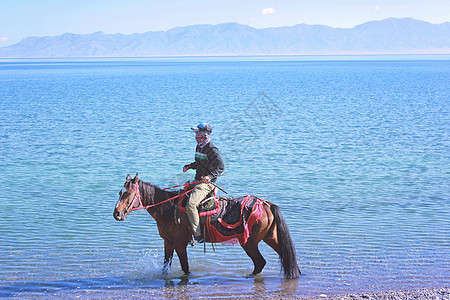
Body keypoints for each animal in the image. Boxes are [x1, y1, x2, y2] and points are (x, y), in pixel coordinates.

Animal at [113, 173, 302, 278]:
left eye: (128, 194)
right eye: (120, 192)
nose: (117, 213)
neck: (168, 209)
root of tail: (266, 204)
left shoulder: (180, 244)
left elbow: (185, 268)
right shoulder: (168, 242)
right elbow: (165, 267)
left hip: (250, 242)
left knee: (260, 262)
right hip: (270, 237)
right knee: (286, 256)